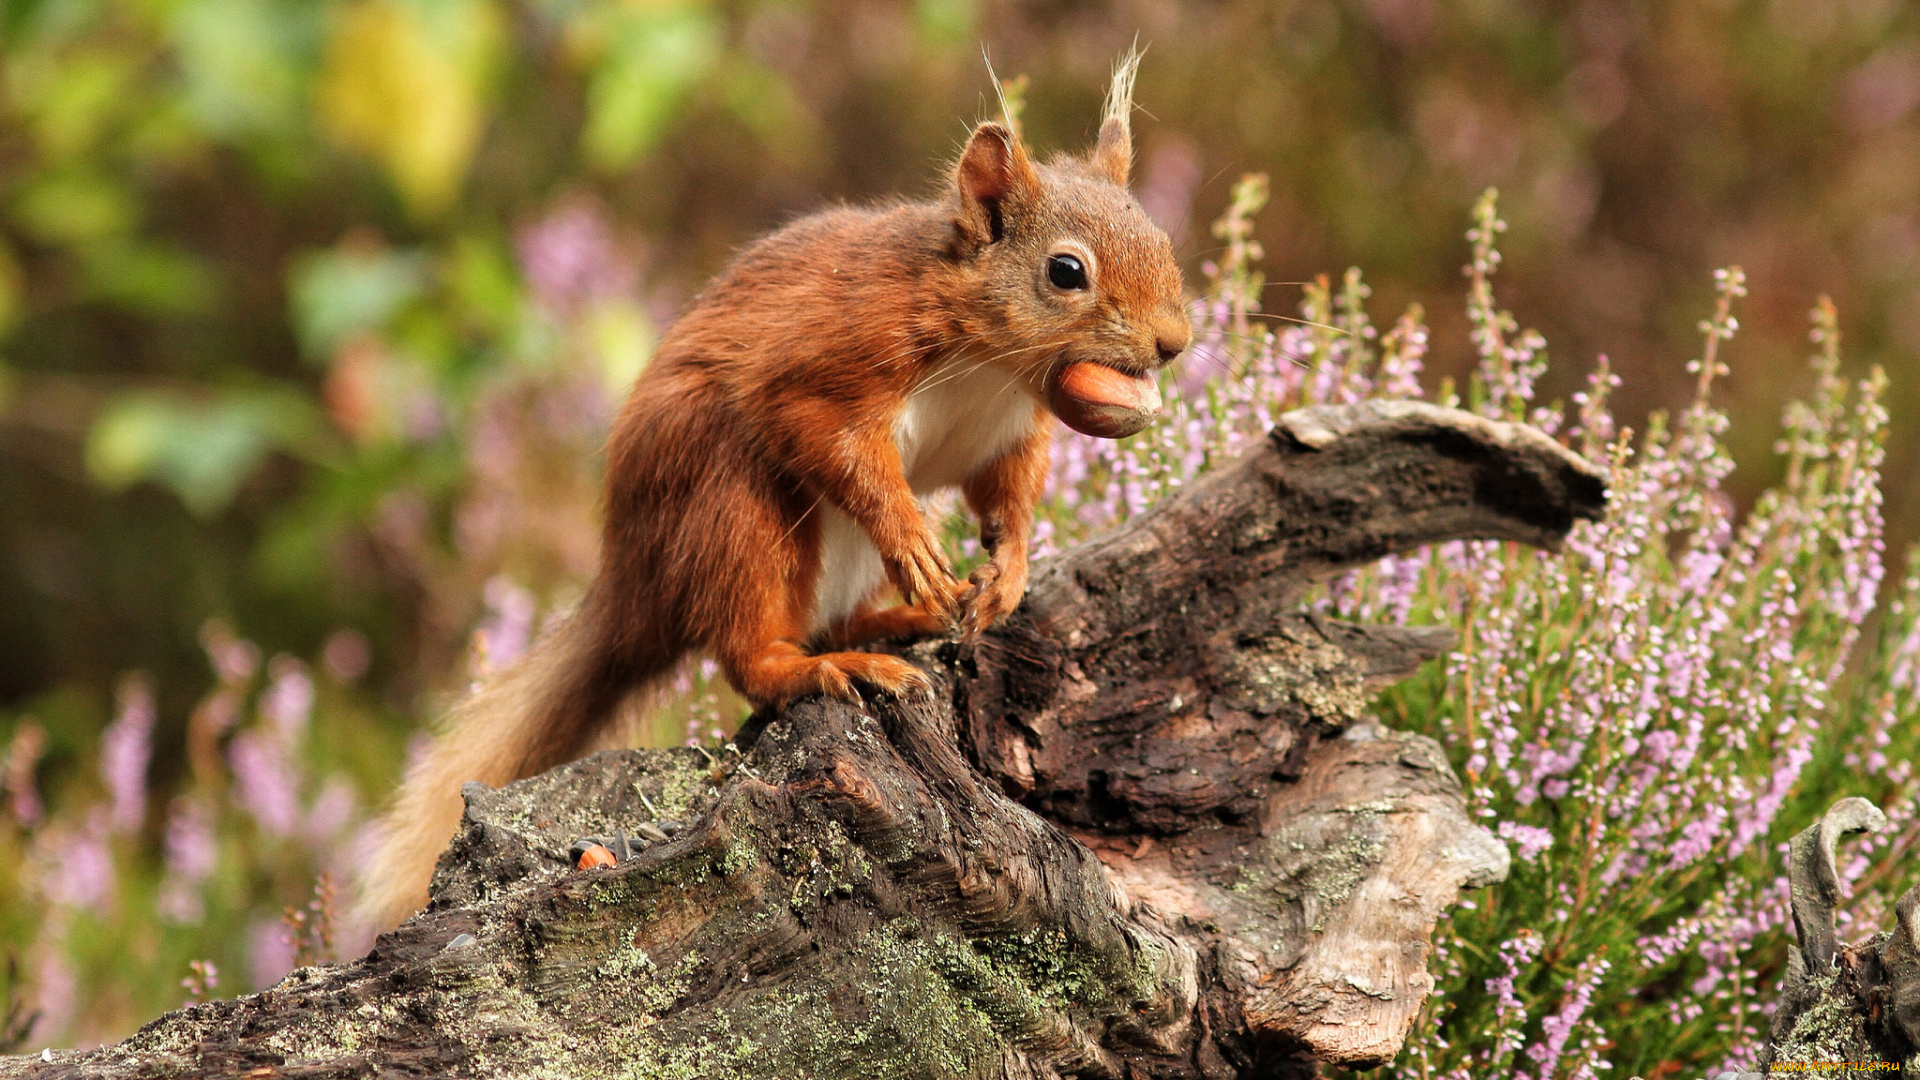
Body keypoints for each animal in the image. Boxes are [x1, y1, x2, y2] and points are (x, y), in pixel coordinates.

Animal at [362, 54, 1182, 922]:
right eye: (1066, 271)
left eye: (1162, 239)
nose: (1175, 342)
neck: (990, 364)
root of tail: (635, 580)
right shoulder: (833, 361)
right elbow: (838, 447)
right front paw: (914, 543)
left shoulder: (1008, 431)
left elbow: (1010, 499)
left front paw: (1005, 576)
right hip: (732, 504)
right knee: (751, 653)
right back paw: (833, 664)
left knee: (827, 619)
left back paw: (903, 619)